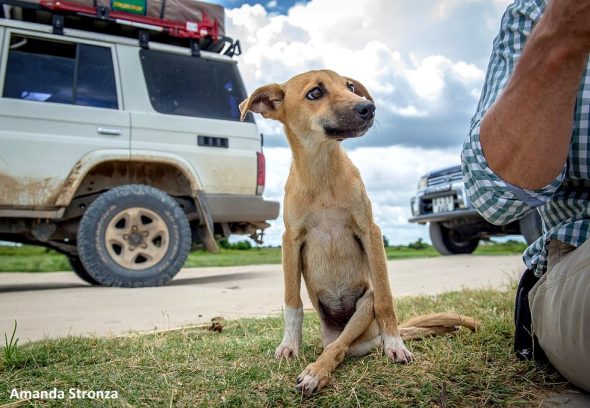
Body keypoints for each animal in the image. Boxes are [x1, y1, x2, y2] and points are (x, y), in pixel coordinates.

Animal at [239, 70, 476, 396]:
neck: (322, 172)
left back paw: (317, 372)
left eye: (350, 86)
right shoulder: (291, 239)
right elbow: (292, 302)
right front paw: (289, 346)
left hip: (364, 307)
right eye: (315, 93)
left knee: (338, 347)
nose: (368, 108)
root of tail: (366, 339)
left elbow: (386, 299)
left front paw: (396, 346)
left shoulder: (370, 232)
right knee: (335, 345)